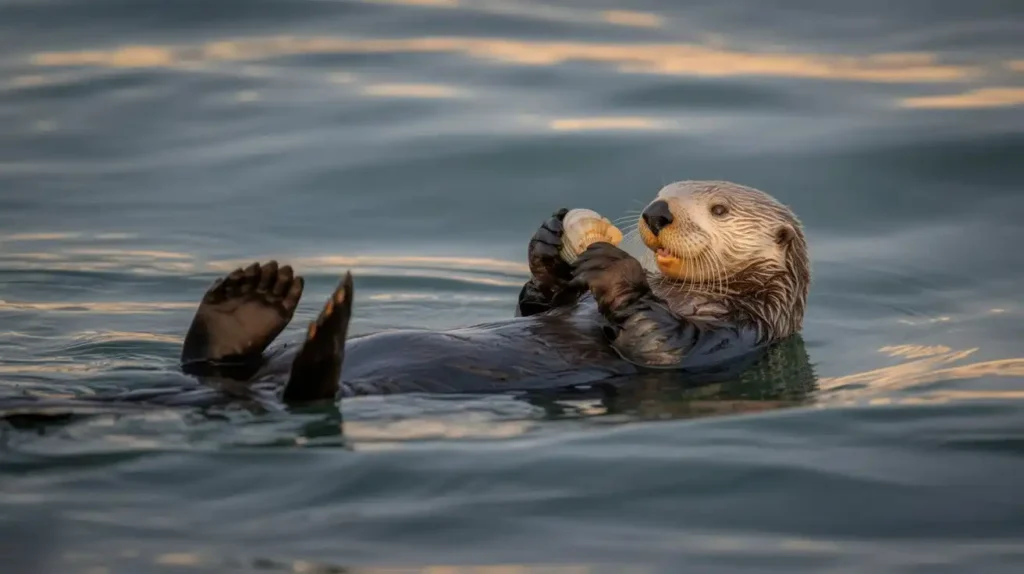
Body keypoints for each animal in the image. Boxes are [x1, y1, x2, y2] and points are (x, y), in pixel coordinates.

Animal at [1, 180, 810, 416]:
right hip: (231, 373)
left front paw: (612, 267)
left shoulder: (736, 334)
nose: (655, 213)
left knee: (297, 387)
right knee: (217, 369)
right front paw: (550, 245)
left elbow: (660, 347)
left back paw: (301, 314)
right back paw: (250, 298)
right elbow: (542, 306)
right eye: (664, 189)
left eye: (717, 210)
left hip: (312, 384)